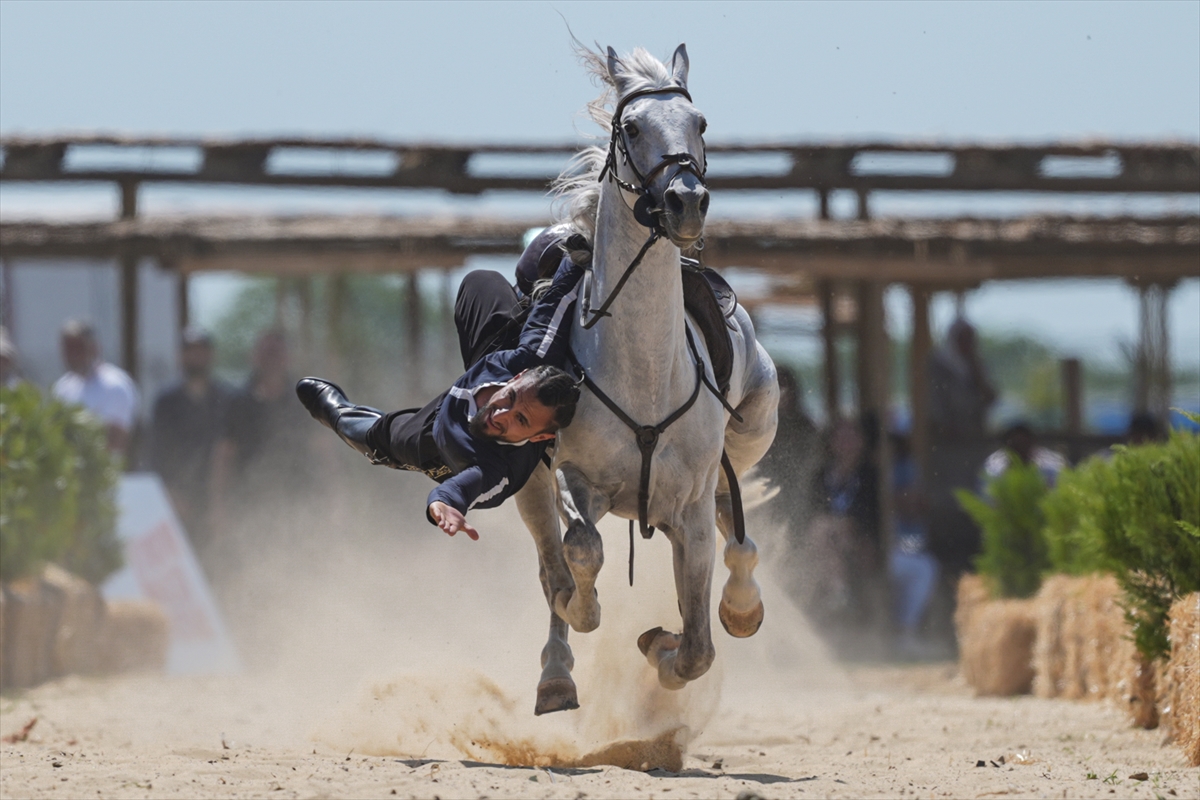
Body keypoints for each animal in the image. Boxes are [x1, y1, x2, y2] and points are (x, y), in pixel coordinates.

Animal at [514, 43, 779, 715]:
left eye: (701, 123)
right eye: (631, 128)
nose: (686, 201)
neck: (644, 368)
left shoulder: (689, 505)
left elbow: (698, 647)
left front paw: (665, 643)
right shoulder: (573, 480)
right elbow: (581, 552)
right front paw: (584, 612)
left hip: (751, 431)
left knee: (736, 532)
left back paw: (743, 603)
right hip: (529, 482)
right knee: (550, 562)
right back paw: (556, 673)